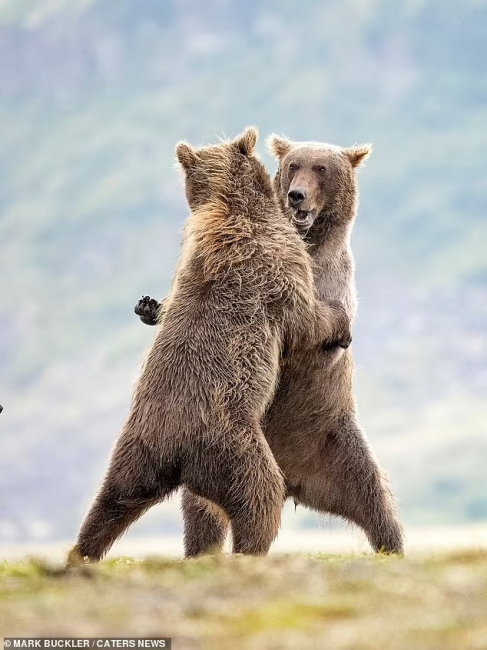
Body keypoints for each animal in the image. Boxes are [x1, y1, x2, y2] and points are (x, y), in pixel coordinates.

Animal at [68, 128, 350, 560]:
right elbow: (305, 320)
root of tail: (177, 455)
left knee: (111, 502)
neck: (234, 206)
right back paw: (250, 551)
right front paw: (339, 320)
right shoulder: (277, 267)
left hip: (136, 451)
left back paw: (82, 551)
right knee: (261, 497)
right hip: (232, 446)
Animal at [135, 134, 406, 556]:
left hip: (334, 442)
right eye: (294, 165)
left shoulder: (330, 282)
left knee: (375, 499)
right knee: (202, 513)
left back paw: (390, 545)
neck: (307, 244)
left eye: (321, 168)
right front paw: (150, 307)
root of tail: (294, 480)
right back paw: (201, 551)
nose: (297, 195)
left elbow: (316, 330)